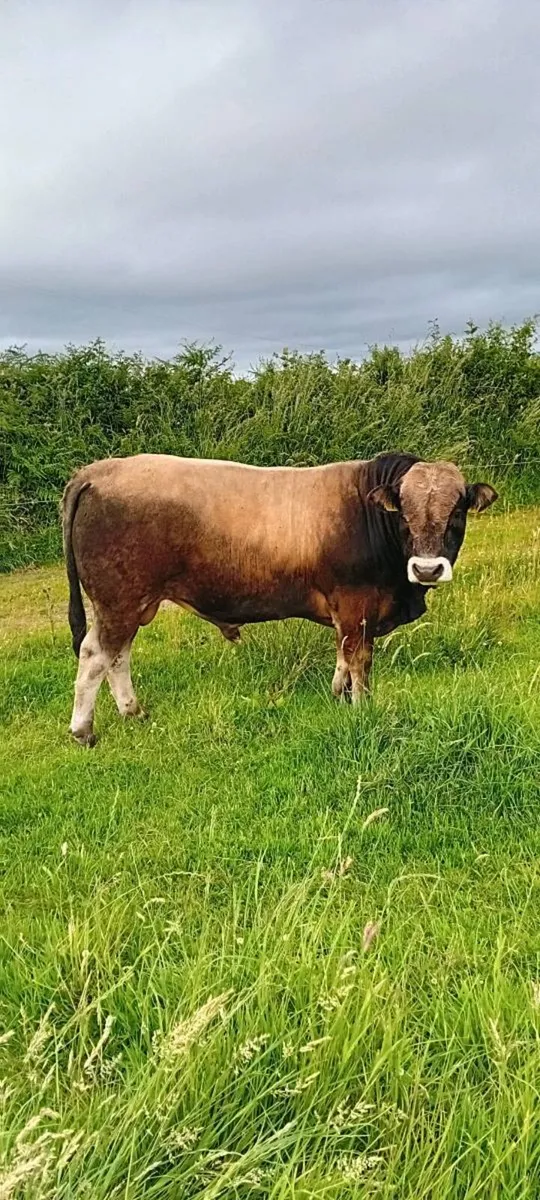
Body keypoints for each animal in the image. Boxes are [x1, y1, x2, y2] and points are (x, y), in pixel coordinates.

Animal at [62, 452, 497, 746]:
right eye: (404, 513)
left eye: (457, 512)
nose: (427, 569)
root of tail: (98, 471)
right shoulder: (356, 603)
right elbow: (359, 659)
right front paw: (362, 708)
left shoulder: (347, 612)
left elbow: (342, 655)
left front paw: (340, 694)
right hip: (119, 602)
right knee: (96, 655)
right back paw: (84, 730)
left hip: (128, 605)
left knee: (117, 656)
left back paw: (133, 712)